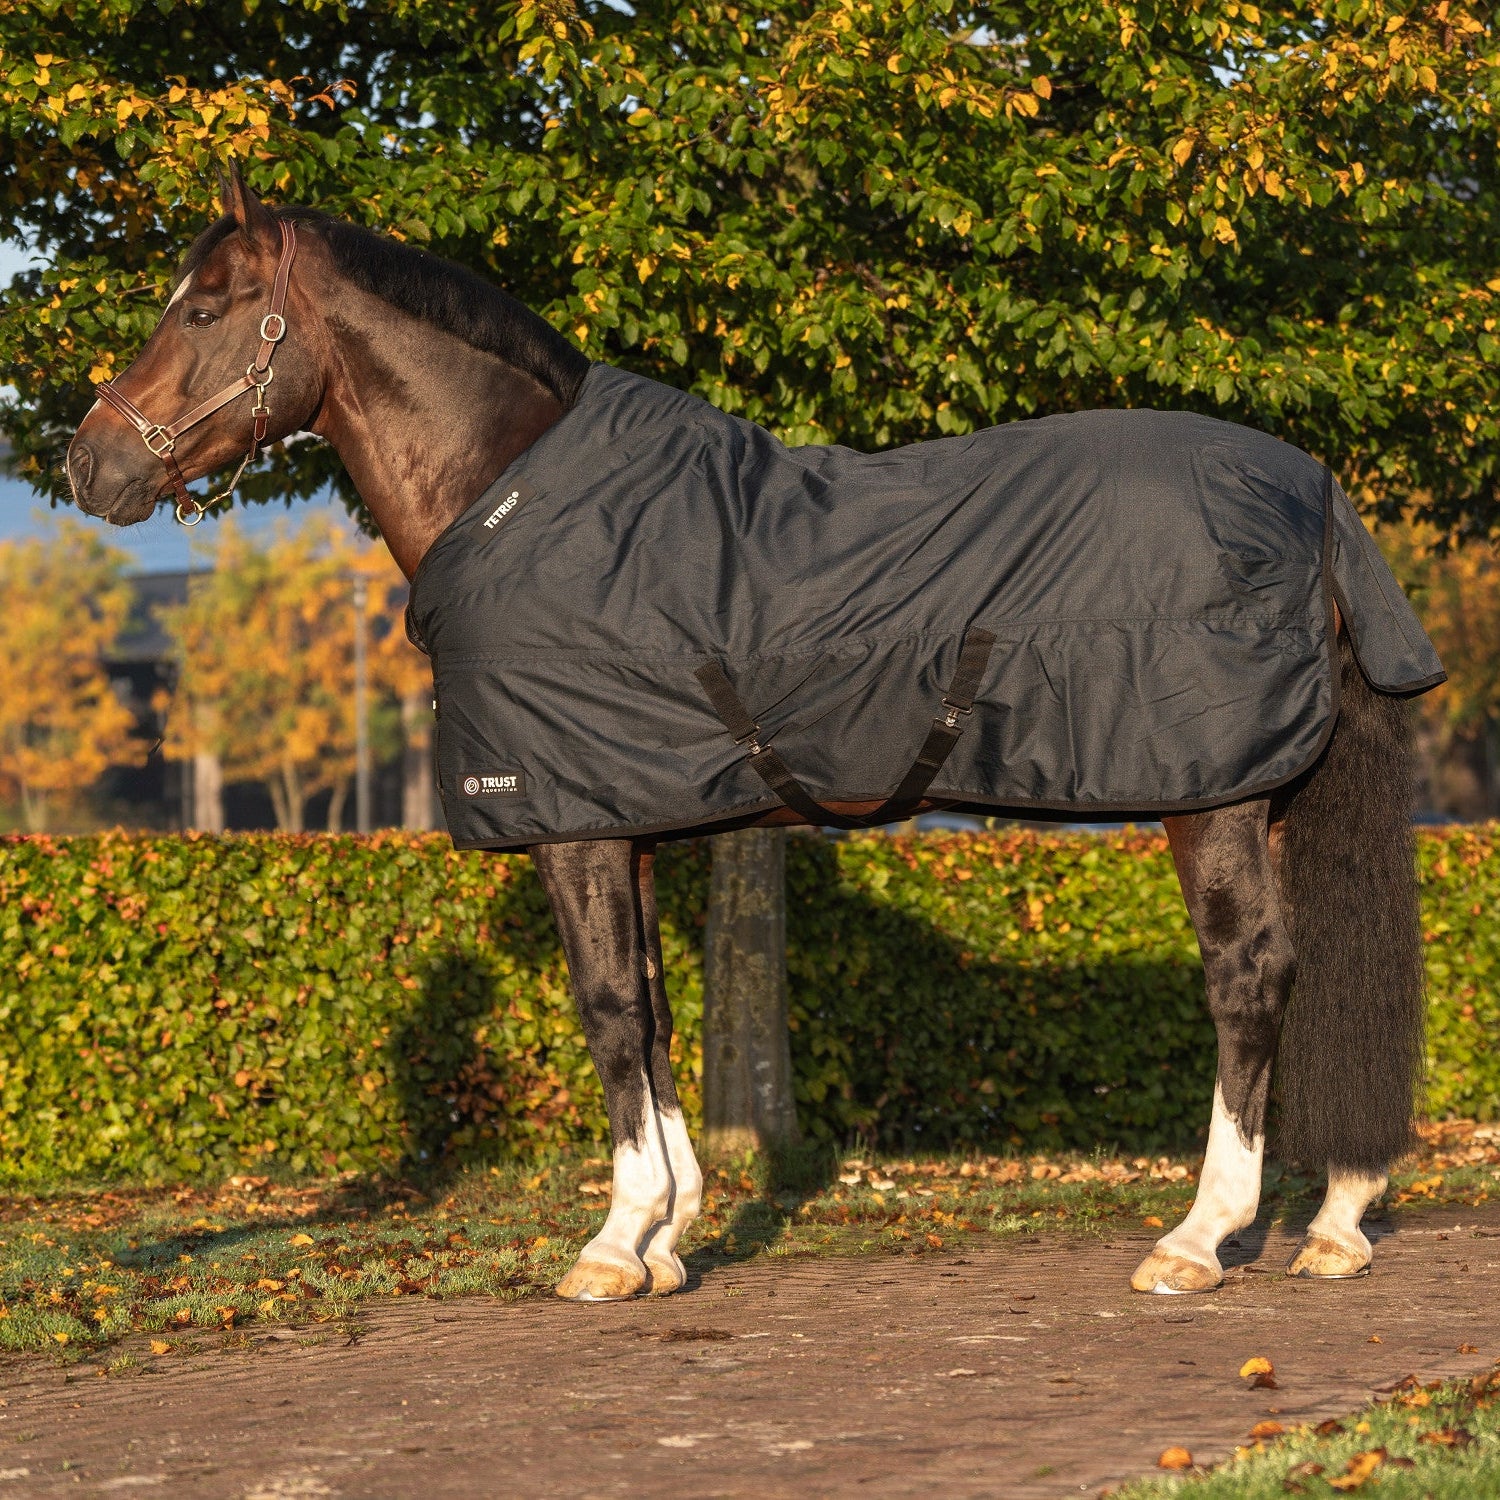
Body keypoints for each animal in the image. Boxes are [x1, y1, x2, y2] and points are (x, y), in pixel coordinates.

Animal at [66, 166, 1433, 1302]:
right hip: (1280, 790)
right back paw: (1336, 1223)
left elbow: (609, 1009)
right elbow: (656, 1010)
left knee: (1249, 976)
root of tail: (1310, 494)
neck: (515, 494)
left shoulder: (571, 826)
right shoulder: (626, 818)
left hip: (1214, 797)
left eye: (205, 310)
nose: (89, 467)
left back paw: (1199, 1238)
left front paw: (616, 1242)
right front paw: (670, 1236)